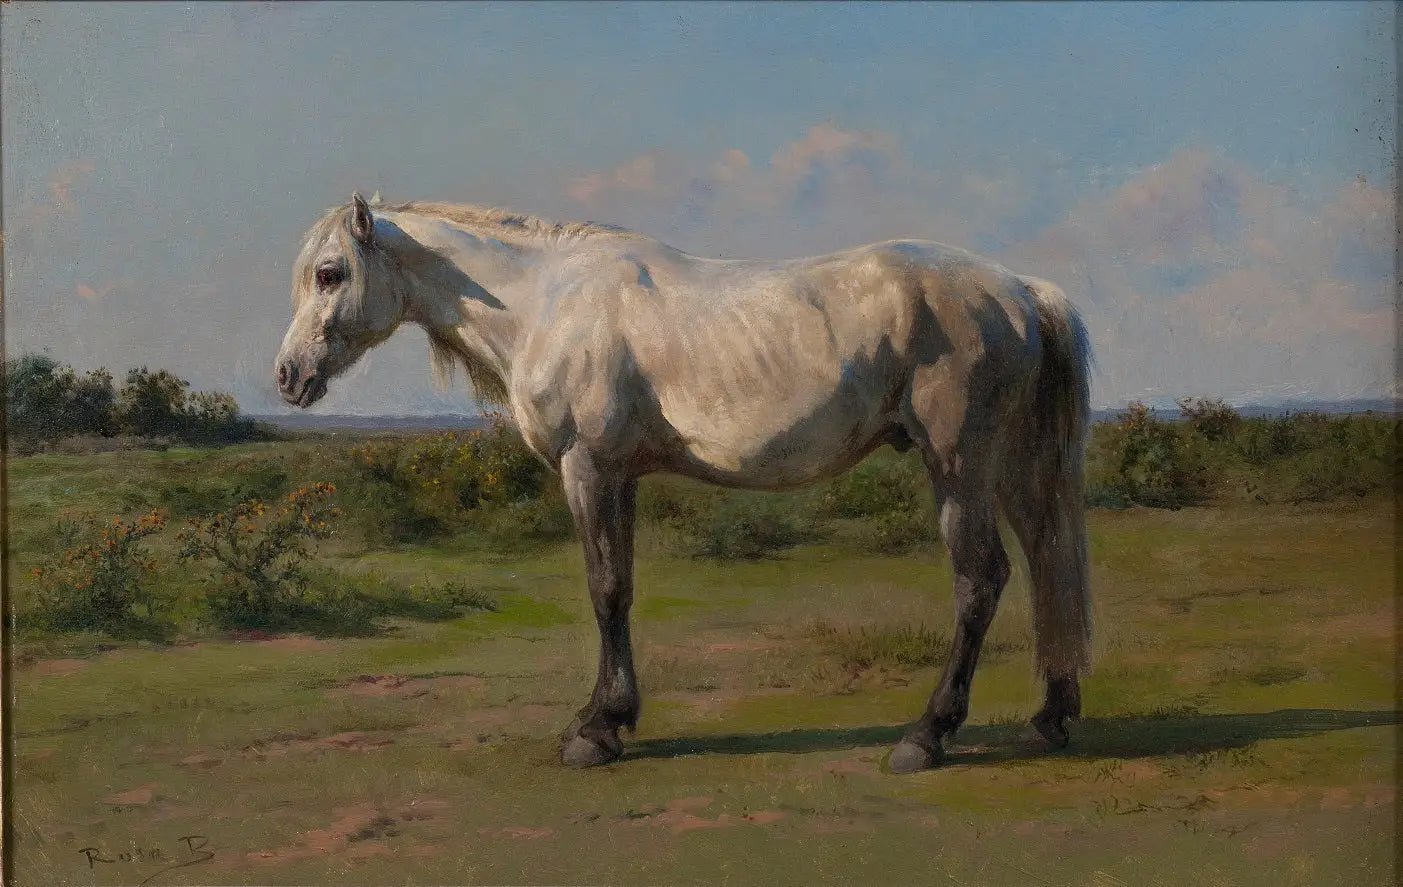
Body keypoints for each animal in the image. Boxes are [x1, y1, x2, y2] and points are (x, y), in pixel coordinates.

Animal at [275, 192, 1093, 772]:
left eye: (330, 274)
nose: (287, 376)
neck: (546, 301)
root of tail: (1020, 290)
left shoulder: (588, 466)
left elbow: (604, 590)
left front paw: (596, 731)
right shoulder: (620, 476)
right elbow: (622, 586)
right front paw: (610, 717)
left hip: (958, 462)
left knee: (981, 578)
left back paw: (926, 736)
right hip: (1011, 465)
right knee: (1047, 559)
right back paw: (1051, 715)